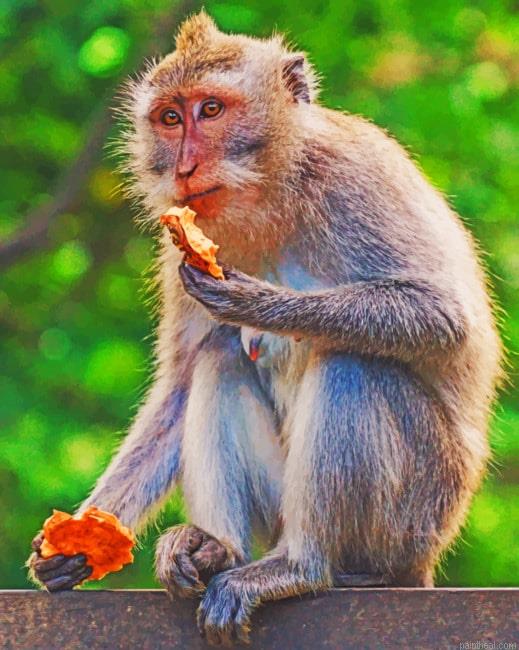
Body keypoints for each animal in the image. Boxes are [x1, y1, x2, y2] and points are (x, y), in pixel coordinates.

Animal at [28, 12, 502, 645]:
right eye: (170, 118)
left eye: (211, 110)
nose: (184, 167)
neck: (271, 191)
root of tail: (424, 559)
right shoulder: (178, 241)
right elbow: (181, 383)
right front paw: (82, 539)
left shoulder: (356, 178)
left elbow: (445, 317)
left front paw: (254, 302)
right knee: (219, 360)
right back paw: (216, 550)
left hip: (414, 516)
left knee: (352, 362)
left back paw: (301, 568)